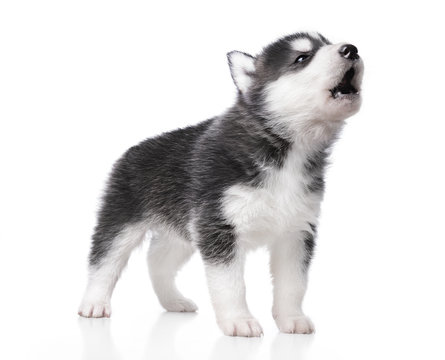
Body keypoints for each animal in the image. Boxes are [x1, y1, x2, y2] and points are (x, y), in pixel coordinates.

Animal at [78, 31, 362, 338]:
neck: (287, 153)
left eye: (327, 43)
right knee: (104, 262)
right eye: (302, 57)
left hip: (181, 232)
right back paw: (93, 303)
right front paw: (239, 320)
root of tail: (132, 149)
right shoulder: (219, 228)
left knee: (157, 261)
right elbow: (230, 284)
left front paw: (292, 318)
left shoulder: (296, 231)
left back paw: (173, 301)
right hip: (121, 221)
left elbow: (294, 283)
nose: (351, 49)